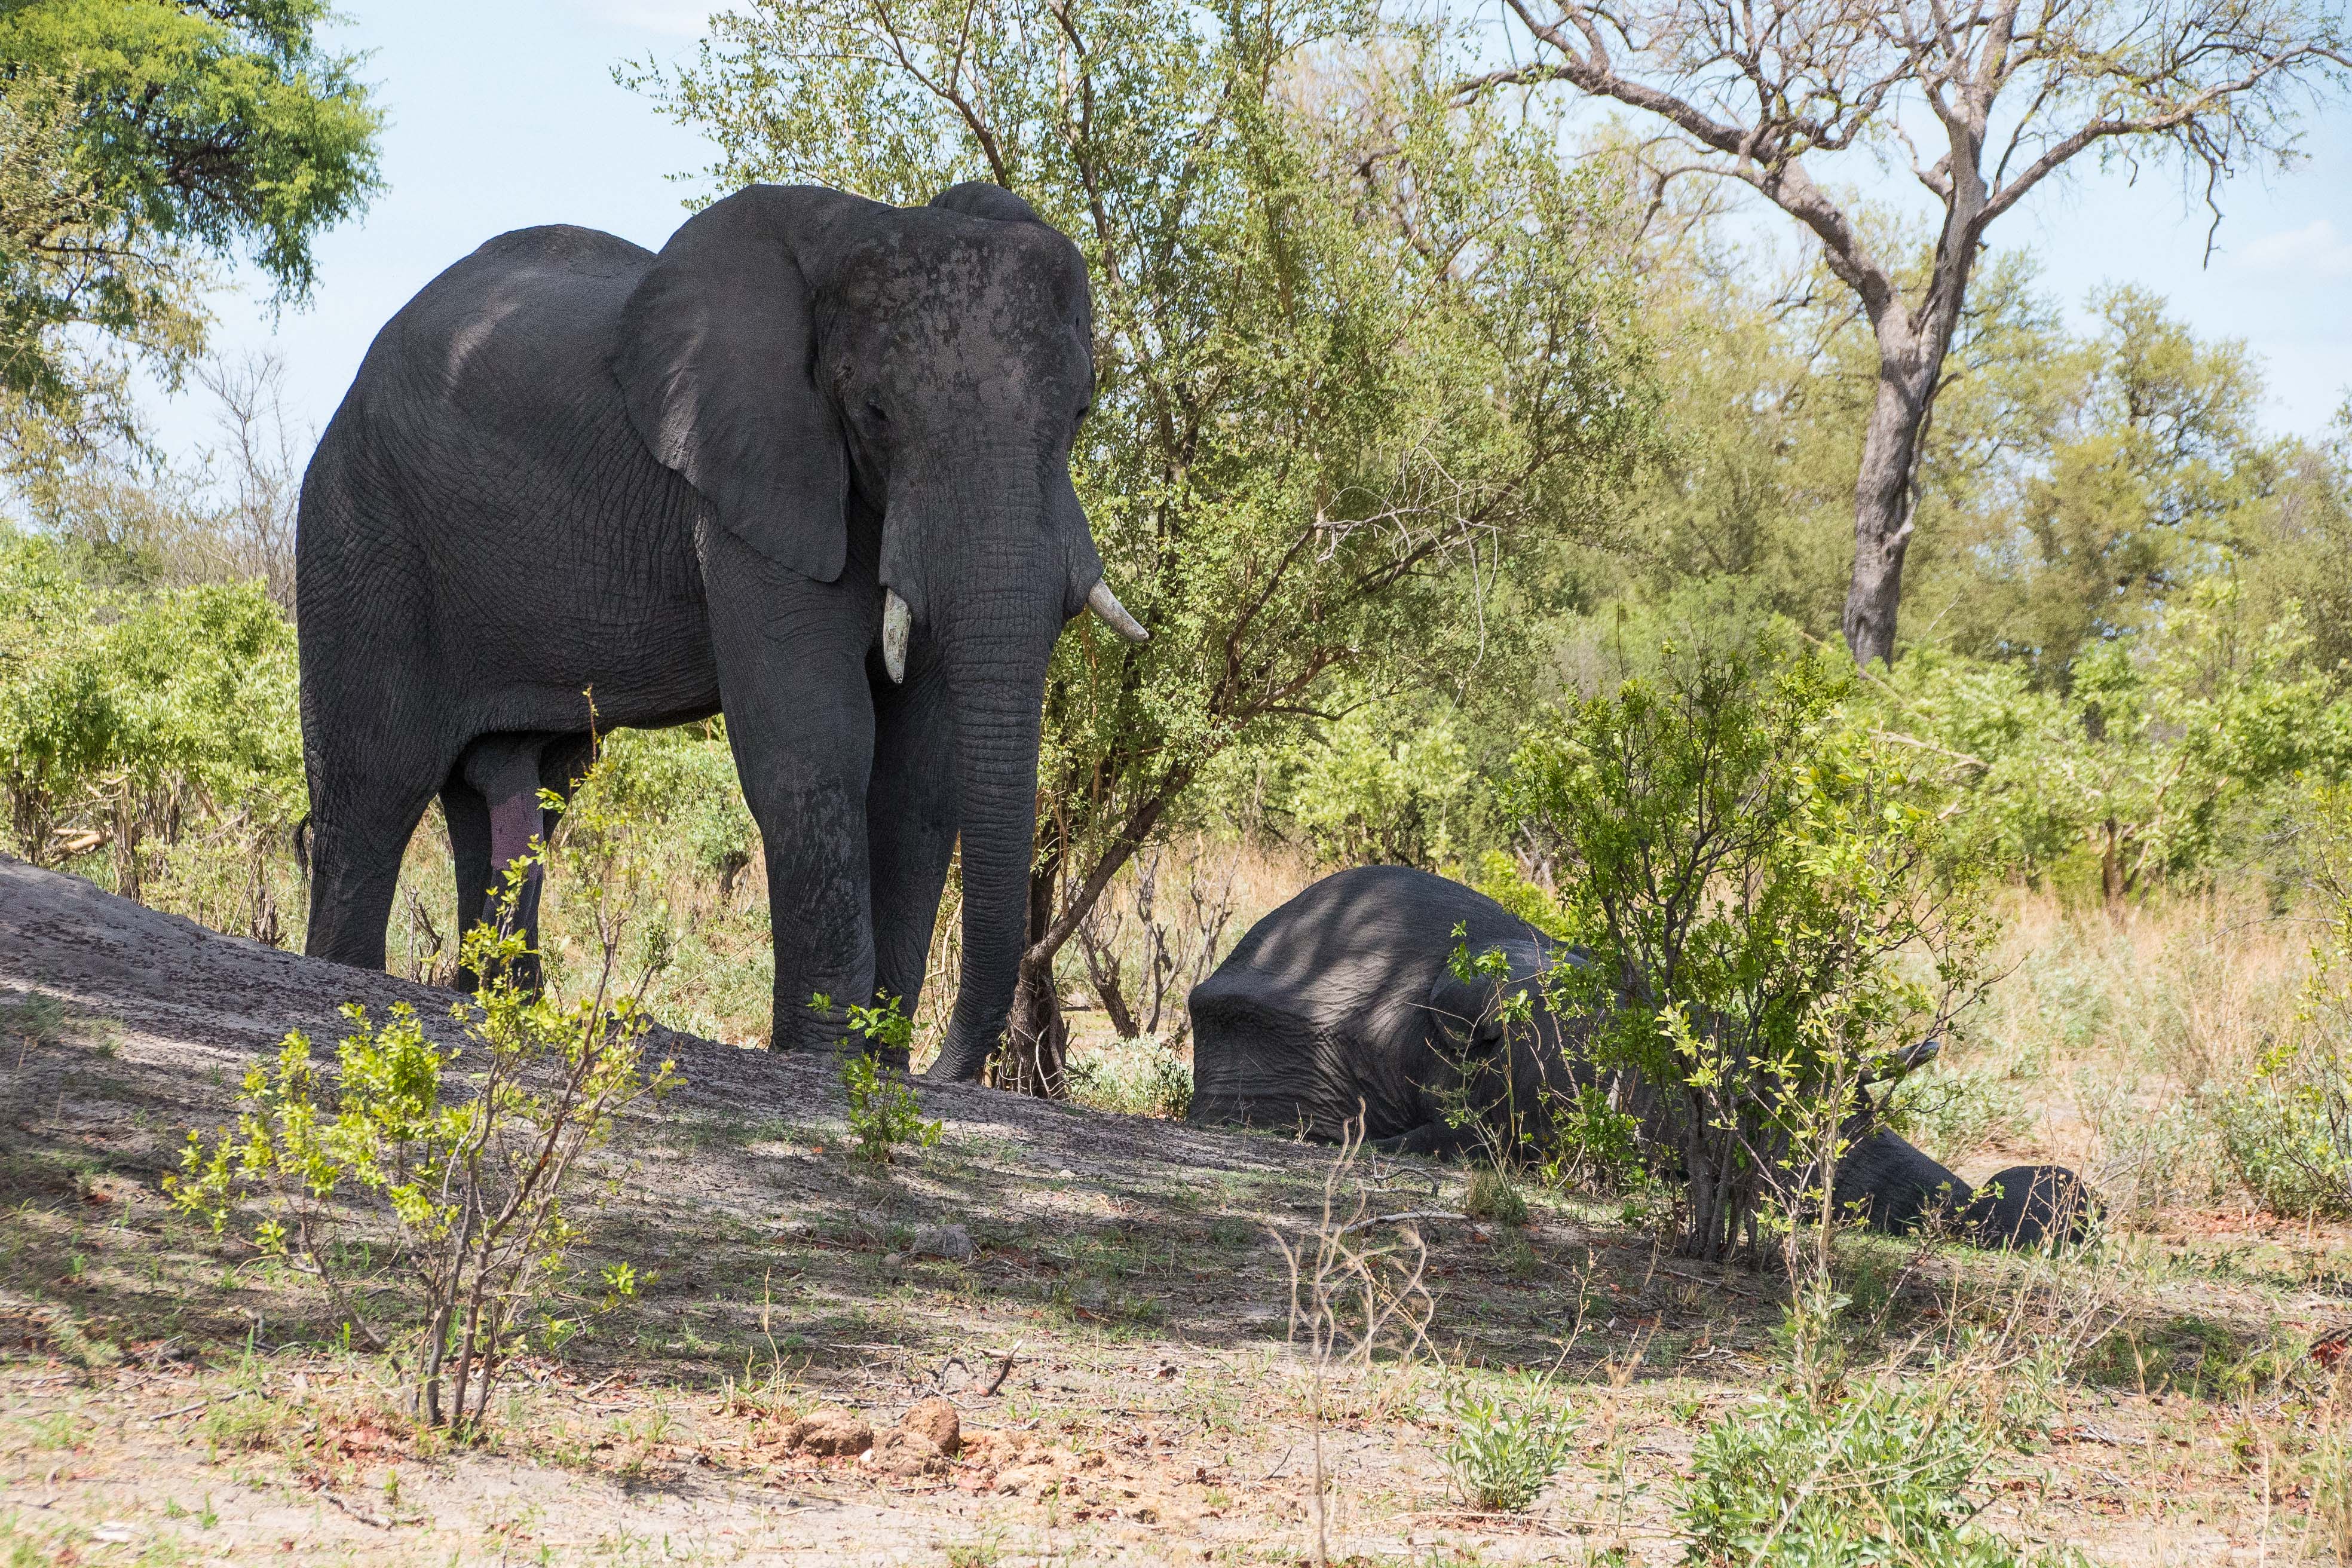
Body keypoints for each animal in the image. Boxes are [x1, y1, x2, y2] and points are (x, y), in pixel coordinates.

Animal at [296, 186, 1147, 1067]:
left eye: (1082, 410)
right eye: (876, 414)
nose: (939, 1064)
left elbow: (922, 774)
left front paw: (875, 1067)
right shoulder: (748, 482)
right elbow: (814, 743)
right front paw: (824, 1060)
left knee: (520, 789)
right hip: (358, 528)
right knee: (373, 791)